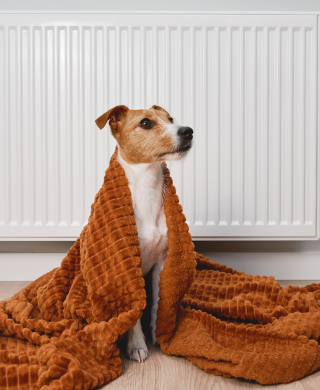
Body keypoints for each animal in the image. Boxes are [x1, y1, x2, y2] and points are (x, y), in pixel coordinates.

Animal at [95, 103, 192, 362]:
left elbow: (158, 302)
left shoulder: (161, 263)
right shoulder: (129, 269)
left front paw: (158, 333)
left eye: (170, 118)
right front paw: (137, 345)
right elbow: (135, 313)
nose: (188, 131)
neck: (147, 185)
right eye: (146, 123)